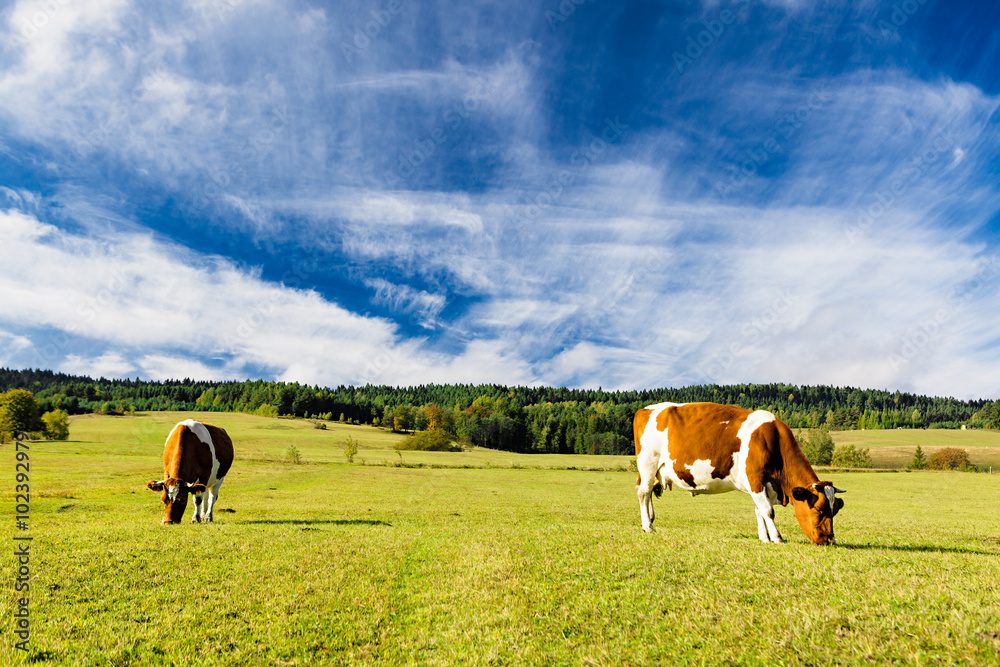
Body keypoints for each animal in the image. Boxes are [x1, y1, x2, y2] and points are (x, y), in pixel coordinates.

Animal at [632, 404, 844, 544]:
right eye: (819, 510)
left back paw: (648, 521)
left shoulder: (761, 486)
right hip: (648, 463)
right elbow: (768, 510)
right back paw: (648, 526)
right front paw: (777, 538)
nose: (829, 540)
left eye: (835, 510)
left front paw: (764, 538)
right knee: (643, 493)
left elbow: (759, 510)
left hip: (654, 471)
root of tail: (645, 409)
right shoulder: (755, 480)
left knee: (647, 492)